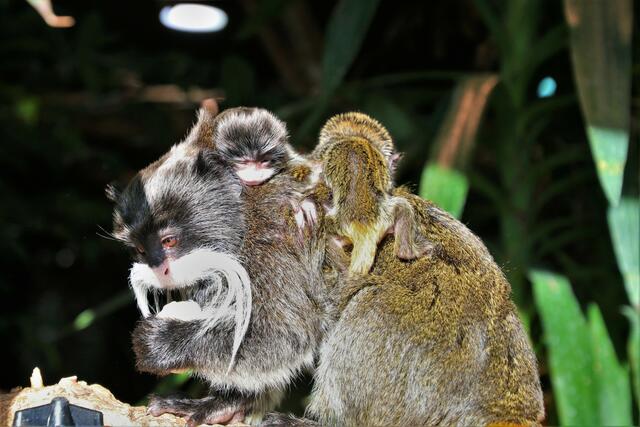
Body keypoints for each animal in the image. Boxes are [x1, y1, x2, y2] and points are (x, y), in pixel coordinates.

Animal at [310, 112, 433, 276]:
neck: (357, 136)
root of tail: (364, 226)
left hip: (339, 225)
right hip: (385, 217)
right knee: (403, 208)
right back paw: (407, 252)